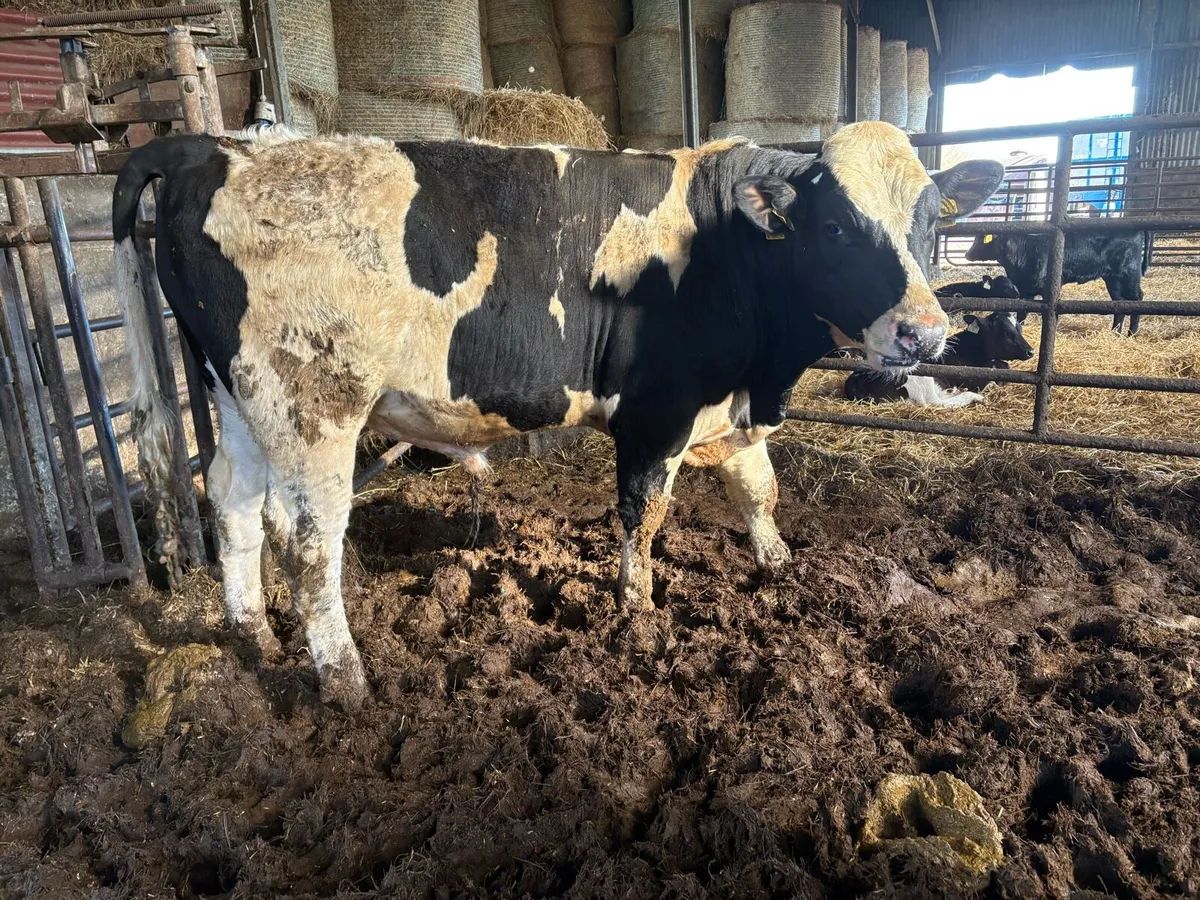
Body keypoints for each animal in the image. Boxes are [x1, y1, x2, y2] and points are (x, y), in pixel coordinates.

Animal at [112, 122, 1004, 710]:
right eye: (837, 226)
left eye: (936, 220)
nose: (924, 331)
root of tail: (213, 146)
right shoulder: (659, 408)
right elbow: (644, 514)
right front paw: (639, 614)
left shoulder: (724, 405)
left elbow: (759, 489)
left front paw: (779, 565)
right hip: (313, 401)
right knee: (305, 542)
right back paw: (344, 679)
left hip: (238, 395)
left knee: (234, 503)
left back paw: (251, 631)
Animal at [844, 311, 1034, 407]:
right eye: (1006, 333)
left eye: (1020, 329)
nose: (1031, 351)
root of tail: (855, 380)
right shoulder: (972, 379)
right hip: (920, 379)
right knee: (936, 402)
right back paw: (972, 397)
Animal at [964, 230, 1148, 335]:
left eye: (982, 240)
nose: (967, 254)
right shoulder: (1024, 291)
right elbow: (1022, 313)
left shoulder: (1051, 288)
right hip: (1113, 279)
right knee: (1120, 303)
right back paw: (1115, 333)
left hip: (1129, 274)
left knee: (1137, 299)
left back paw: (1132, 334)